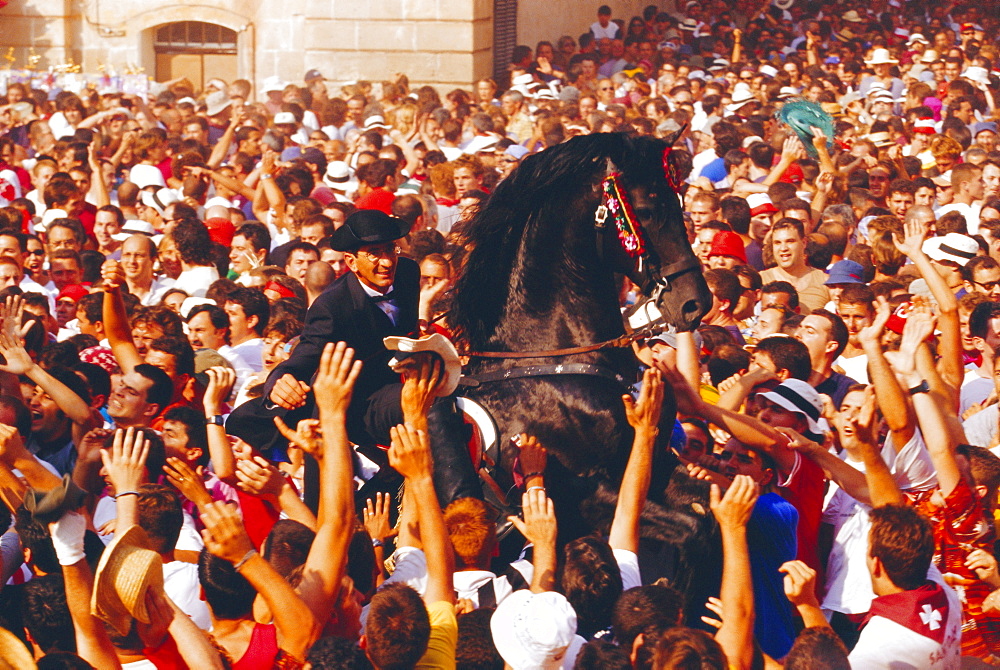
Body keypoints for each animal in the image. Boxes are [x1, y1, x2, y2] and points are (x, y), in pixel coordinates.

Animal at [450, 134, 716, 544]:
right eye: (645, 211)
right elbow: (693, 530)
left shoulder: (657, 465)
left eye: (679, 205)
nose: (695, 303)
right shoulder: (591, 497)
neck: (553, 357)